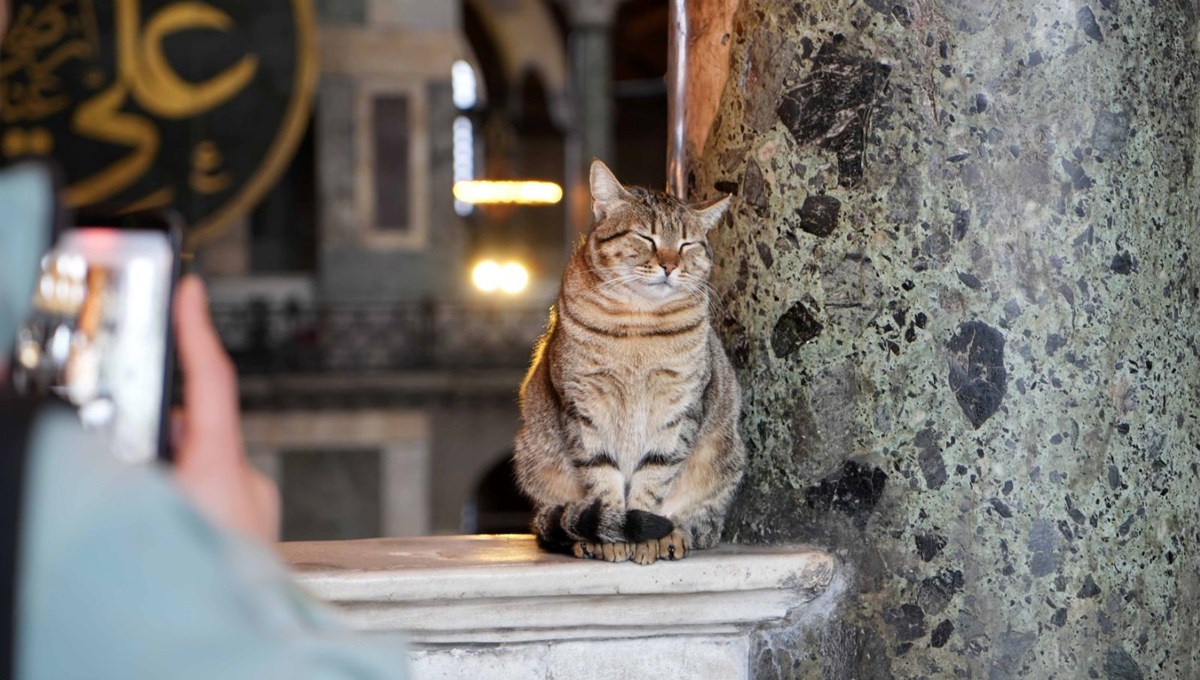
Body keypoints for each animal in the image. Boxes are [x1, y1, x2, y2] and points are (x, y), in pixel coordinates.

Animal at [513, 159, 744, 563]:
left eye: (686, 244)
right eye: (646, 238)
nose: (669, 264)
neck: (639, 322)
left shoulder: (678, 407)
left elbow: (654, 476)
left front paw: (646, 535)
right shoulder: (584, 404)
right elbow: (601, 475)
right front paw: (613, 533)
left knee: (701, 523)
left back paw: (673, 534)